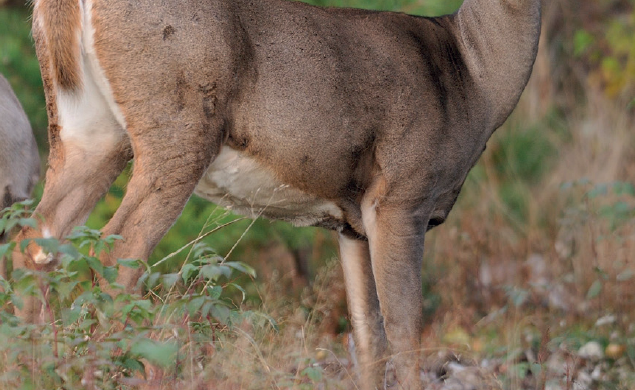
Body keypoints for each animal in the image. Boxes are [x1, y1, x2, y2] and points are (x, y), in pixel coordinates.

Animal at [12, 0, 540, 386]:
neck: (473, 77)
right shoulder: (401, 195)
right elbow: (407, 330)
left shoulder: (351, 222)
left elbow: (367, 336)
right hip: (178, 128)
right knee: (117, 253)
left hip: (89, 134)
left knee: (33, 243)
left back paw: (31, 368)